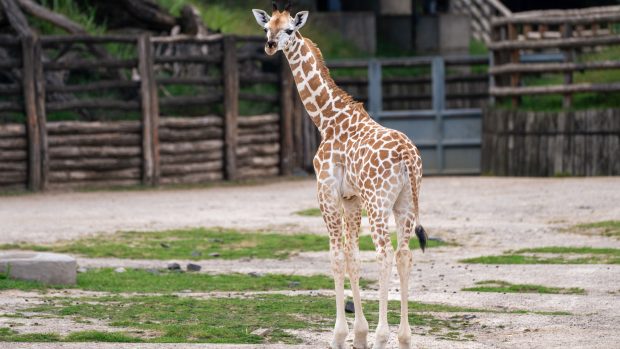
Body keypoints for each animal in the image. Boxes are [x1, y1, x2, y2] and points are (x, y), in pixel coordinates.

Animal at [252, 3, 426, 348]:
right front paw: (359, 334)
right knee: (404, 254)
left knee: (385, 254)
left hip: (378, 202)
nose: (270, 45)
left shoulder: (327, 193)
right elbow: (351, 256)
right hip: (405, 203)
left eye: (289, 29)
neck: (327, 119)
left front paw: (340, 335)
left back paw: (382, 336)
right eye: (267, 28)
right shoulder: (351, 198)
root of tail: (408, 158)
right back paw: (403, 337)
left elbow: (335, 257)